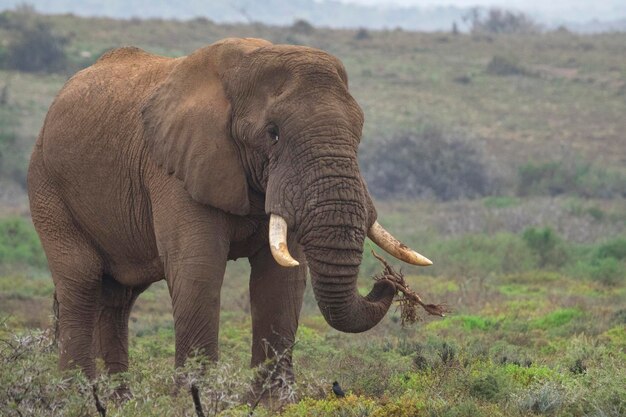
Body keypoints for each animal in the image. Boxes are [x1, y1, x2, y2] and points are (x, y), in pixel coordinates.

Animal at [28, 37, 428, 388]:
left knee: (118, 300)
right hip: (47, 188)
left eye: (359, 132)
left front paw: (273, 404)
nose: (389, 281)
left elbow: (281, 281)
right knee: (81, 283)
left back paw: (118, 400)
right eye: (273, 133)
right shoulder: (176, 169)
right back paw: (79, 396)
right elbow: (198, 269)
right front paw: (196, 399)